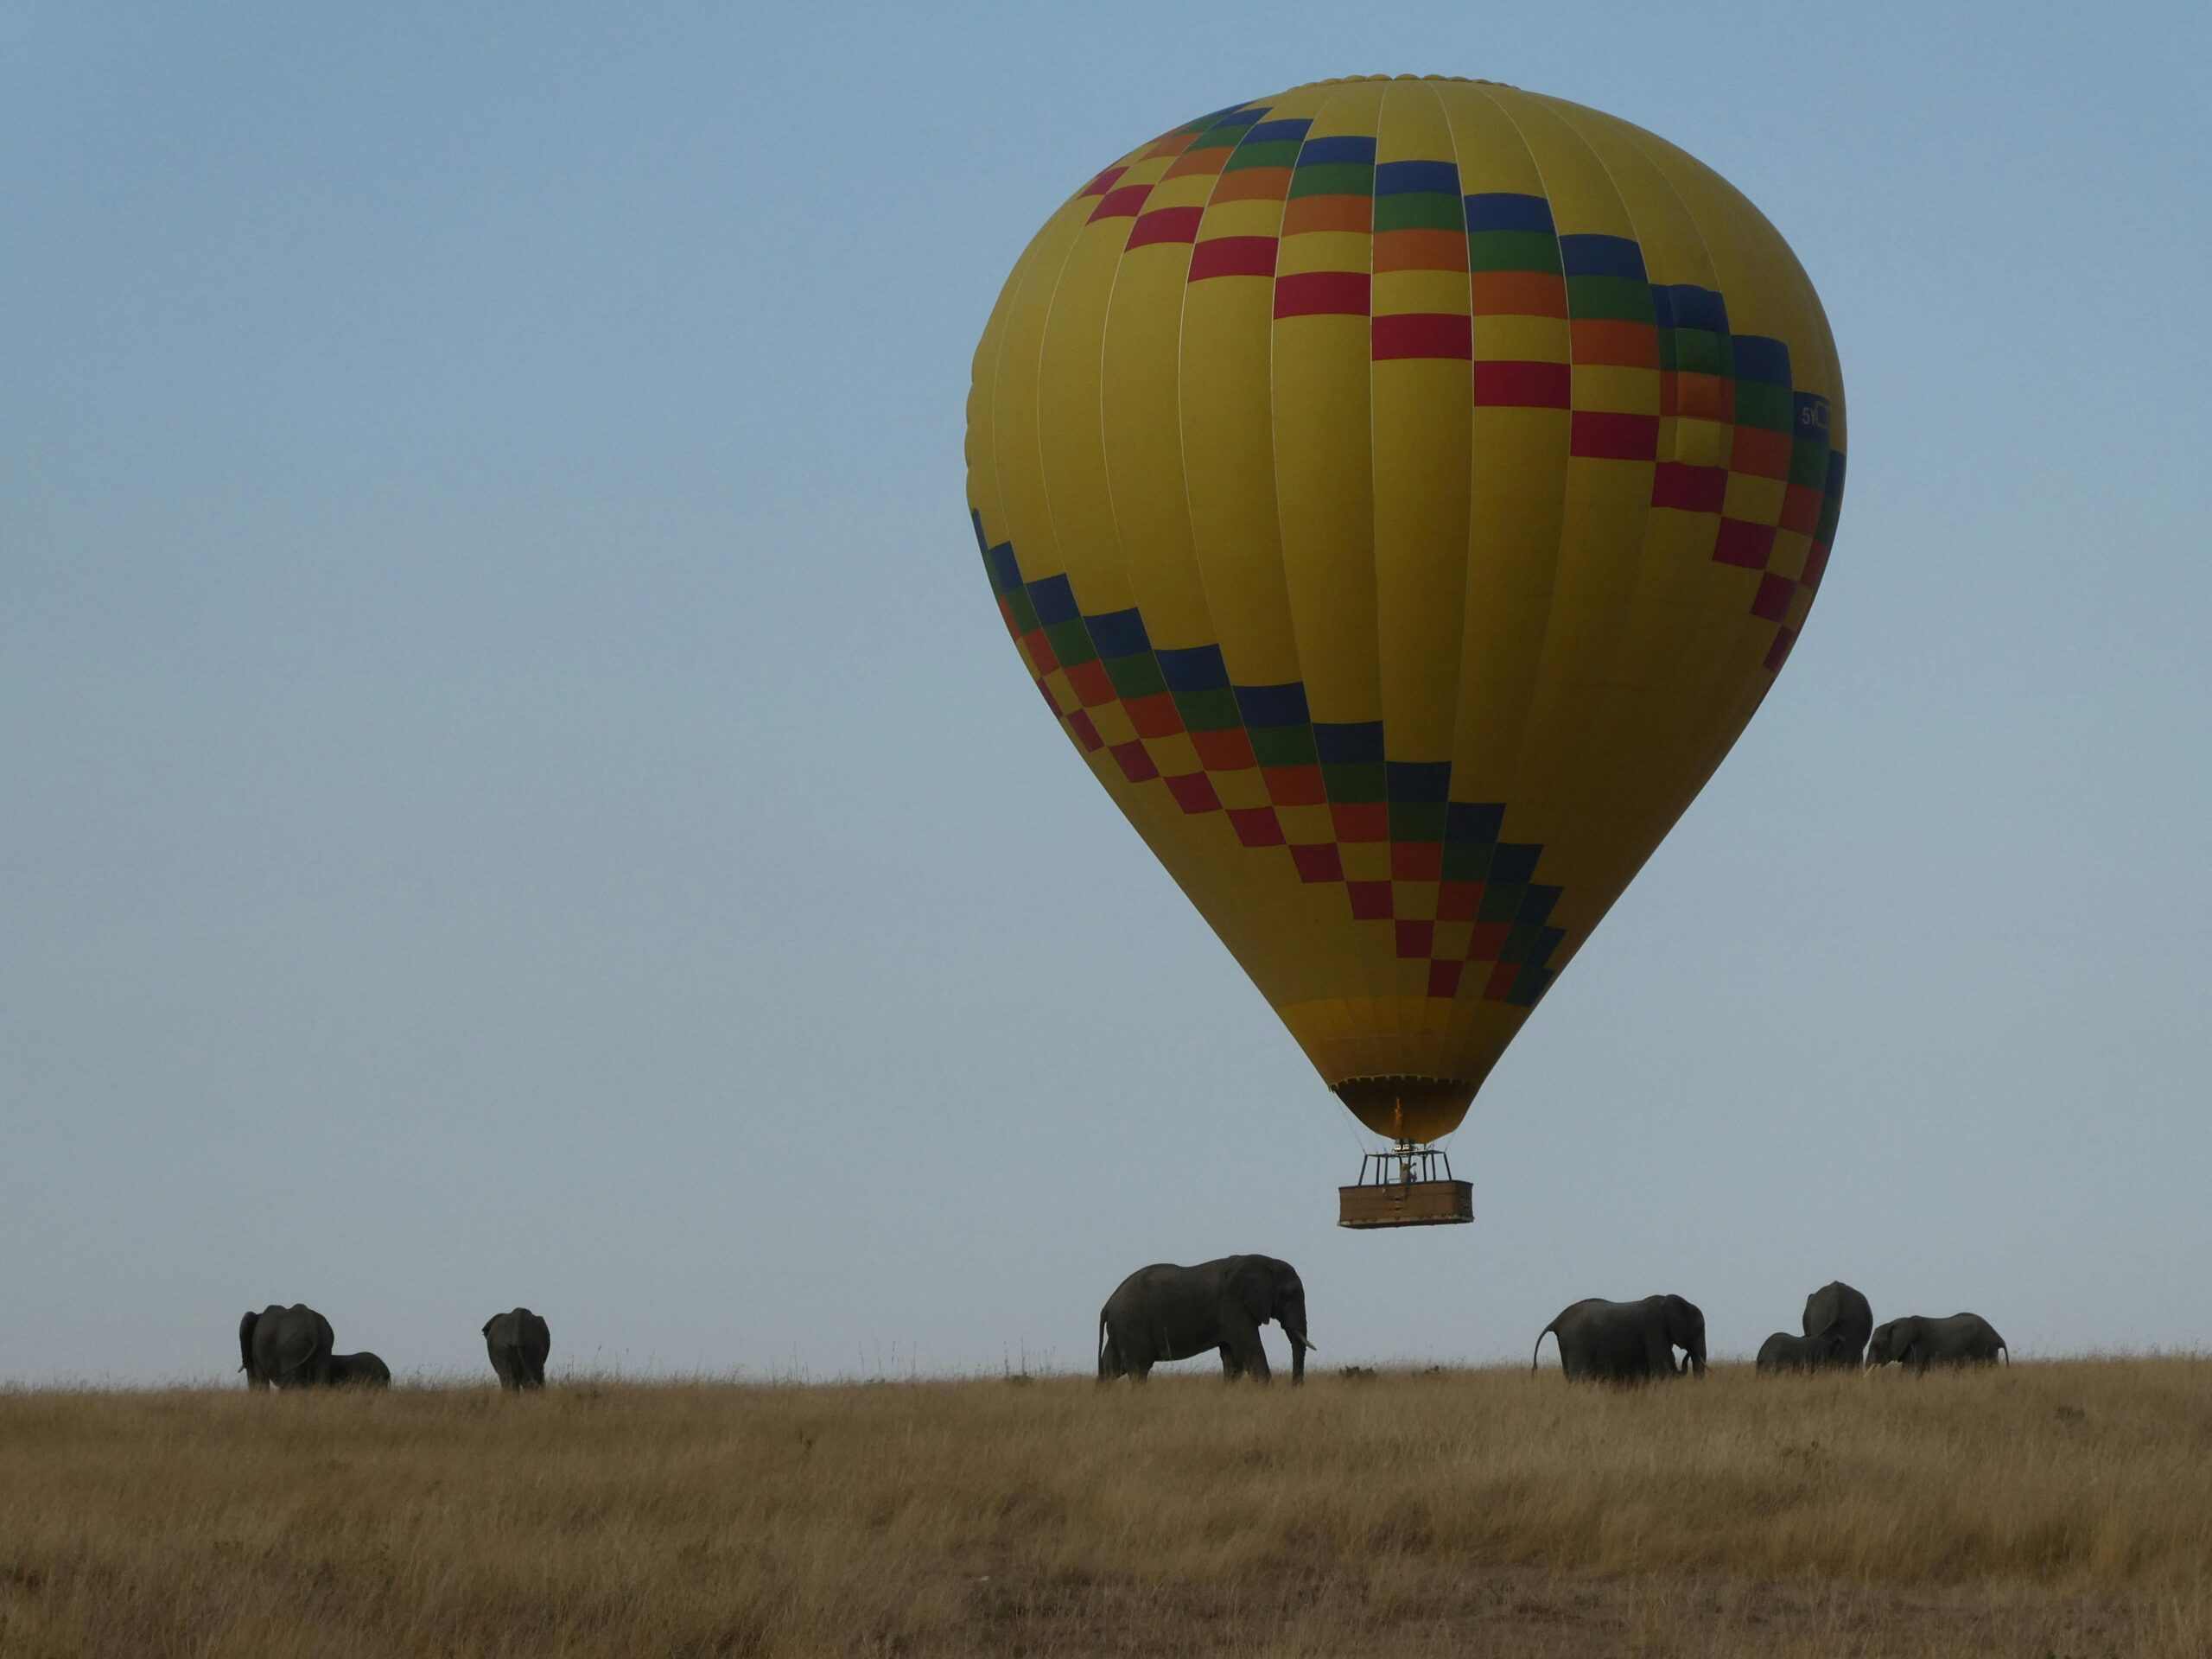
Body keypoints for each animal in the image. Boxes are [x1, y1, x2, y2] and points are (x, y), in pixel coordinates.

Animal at [1096, 1256, 1300, 1389]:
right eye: (1290, 1295)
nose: (1294, 1387)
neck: (1263, 1262)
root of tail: (1107, 1306)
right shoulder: (1234, 1307)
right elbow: (1250, 1351)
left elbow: (1233, 1359)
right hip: (1131, 1324)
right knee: (1139, 1369)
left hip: (1122, 1328)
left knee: (1111, 1367)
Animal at [1539, 1300, 1707, 1389]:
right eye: (1699, 1330)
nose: (1688, 1353)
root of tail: (1557, 1321)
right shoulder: (1655, 1329)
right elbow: (1662, 1368)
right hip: (1577, 1343)